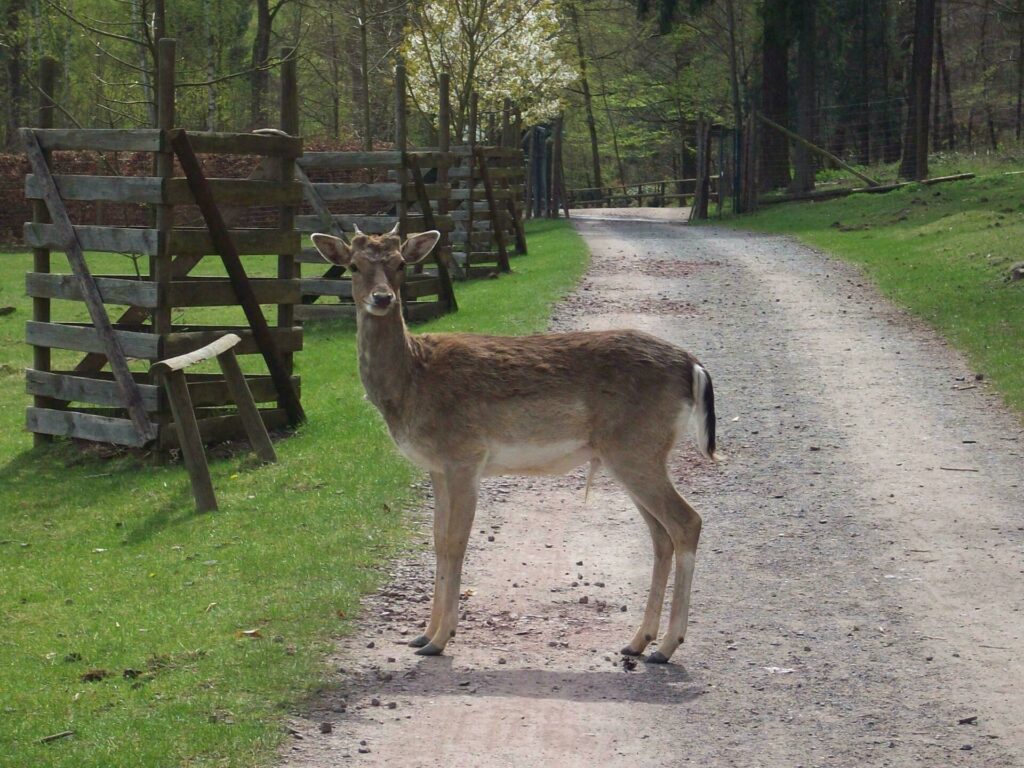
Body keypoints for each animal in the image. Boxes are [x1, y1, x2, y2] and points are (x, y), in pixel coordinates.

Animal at [311, 225, 720, 663]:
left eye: (402, 263)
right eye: (353, 266)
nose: (383, 298)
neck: (411, 384)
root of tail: (693, 366)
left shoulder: (465, 454)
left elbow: (456, 541)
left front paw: (440, 639)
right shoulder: (437, 467)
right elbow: (437, 541)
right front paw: (421, 635)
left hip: (637, 449)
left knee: (686, 522)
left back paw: (666, 646)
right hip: (631, 455)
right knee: (661, 535)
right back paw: (638, 641)